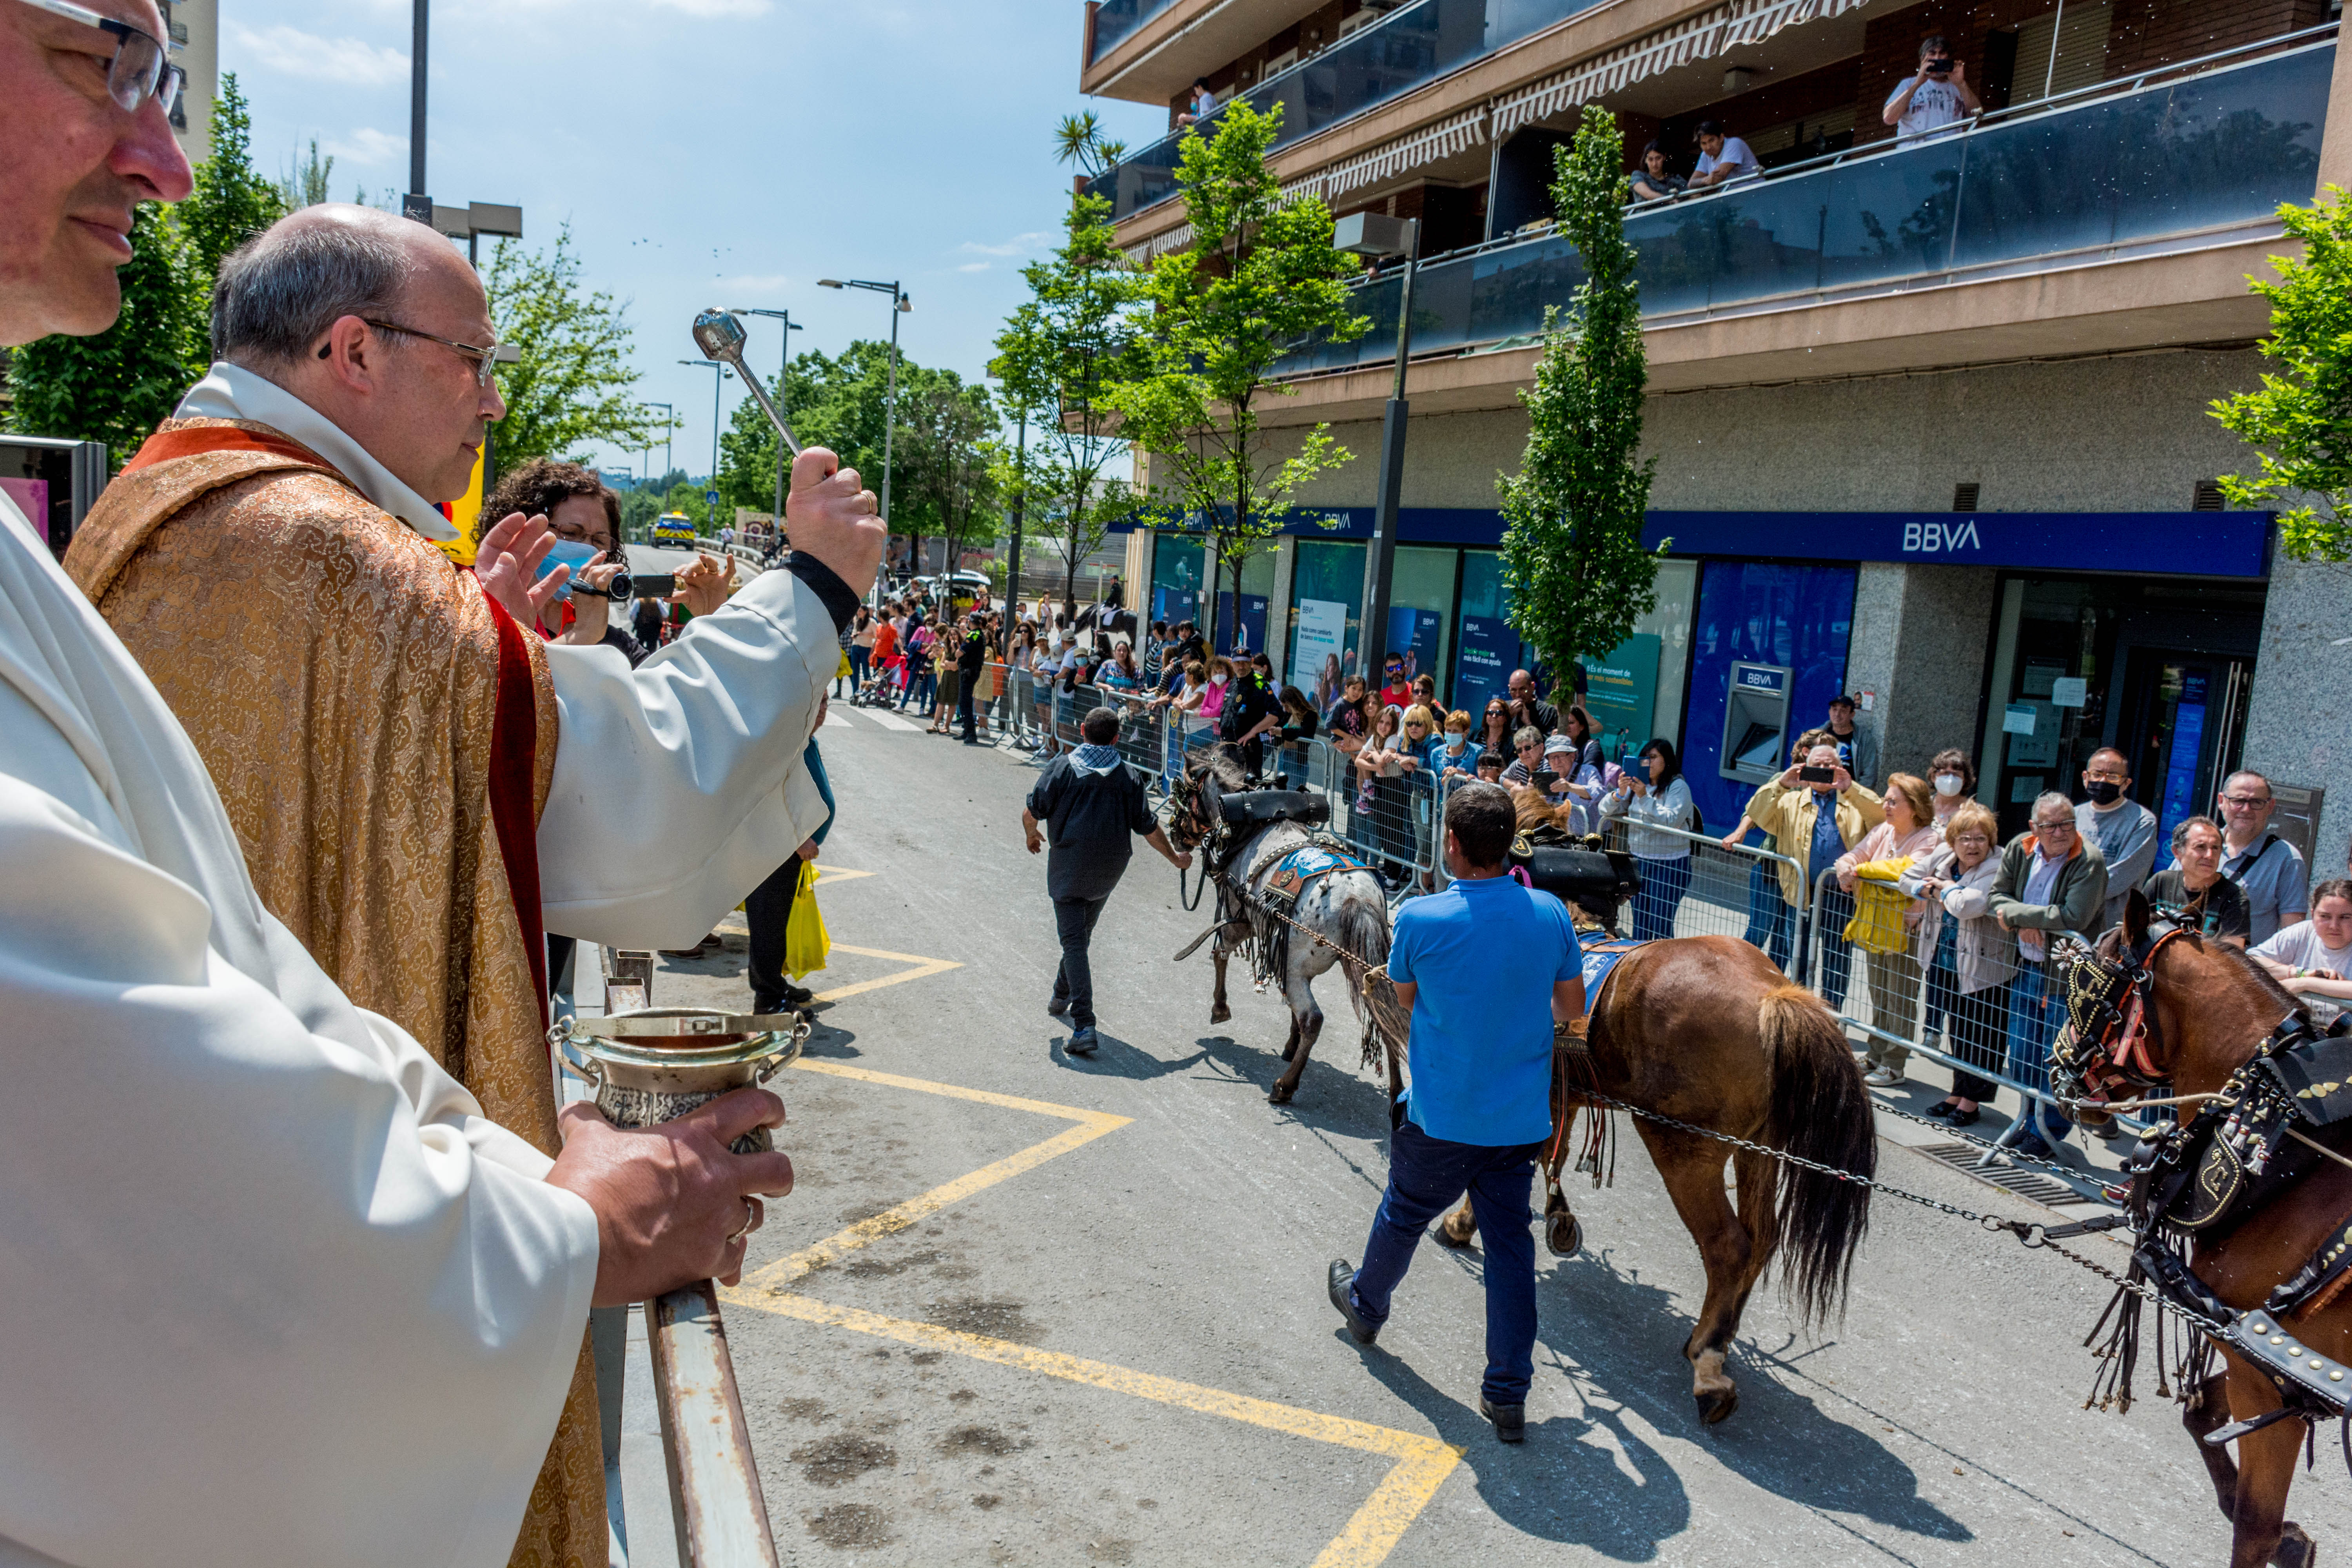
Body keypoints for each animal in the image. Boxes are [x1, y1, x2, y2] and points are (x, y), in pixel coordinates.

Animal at [1411, 940, 1872, 1429]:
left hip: (1681, 1148)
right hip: (1758, 1151)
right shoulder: (1563, 1091)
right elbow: (1553, 1150)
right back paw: (1720, 1338)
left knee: (1729, 1246)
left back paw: (1709, 1366)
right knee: (1762, 1238)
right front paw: (1559, 1217)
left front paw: (1463, 1223)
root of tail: (1772, 993)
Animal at [2070, 893, 2343, 1568]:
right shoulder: (2273, 1374)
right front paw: (2295, 1542)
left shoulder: (2268, 1374)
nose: (2058, 1059)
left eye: (2088, 982)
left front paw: (2279, 1539)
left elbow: (2253, 1525)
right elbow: (2199, 1416)